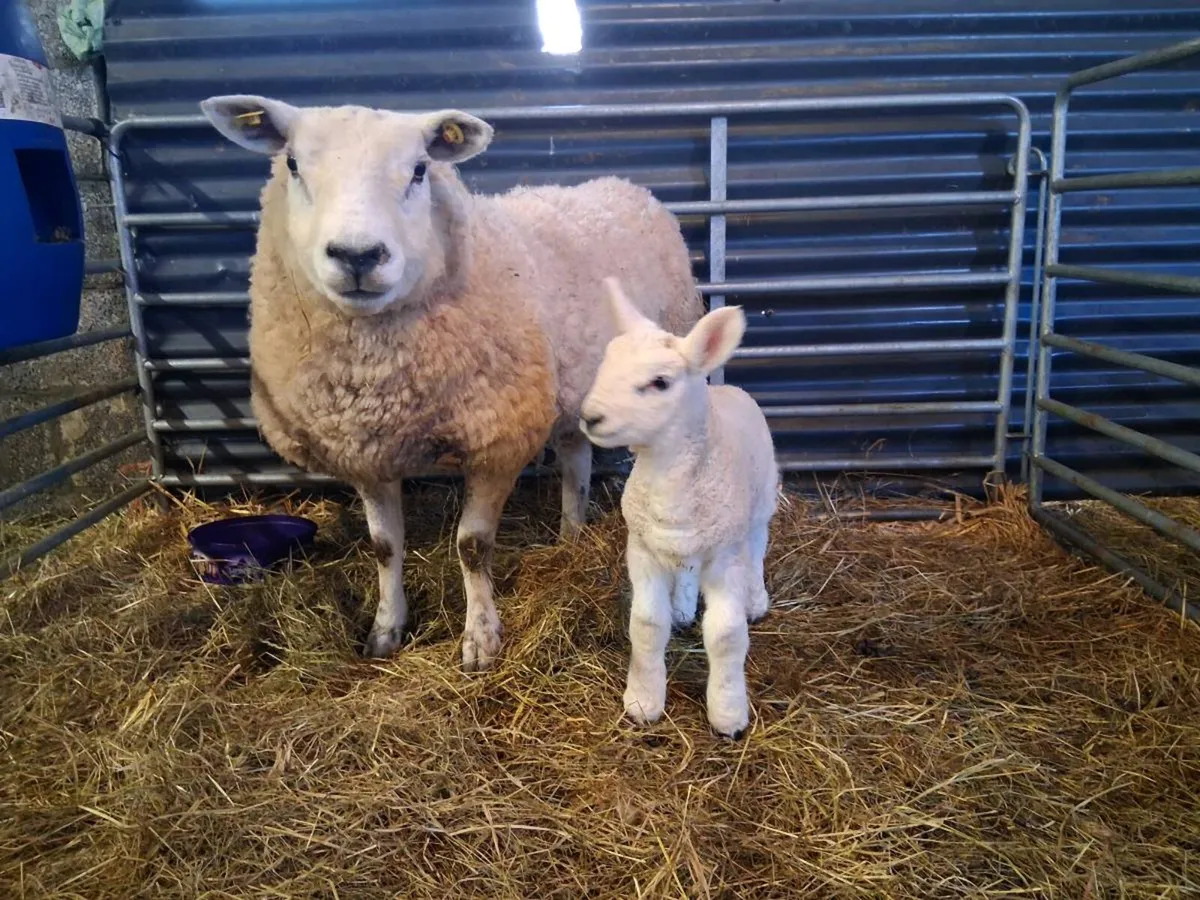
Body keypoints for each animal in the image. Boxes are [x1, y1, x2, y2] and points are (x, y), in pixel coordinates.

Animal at [199, 95, 702, 669]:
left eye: (420, 170)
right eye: (292, 164)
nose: (357, 255)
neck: (376, 382)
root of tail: (624, 184)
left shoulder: (497, 441)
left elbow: (471, 546)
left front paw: (480, 639)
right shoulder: (366, 453)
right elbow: (384, 547)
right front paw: (385, 629)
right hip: (569, 389)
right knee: (575, 455)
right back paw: (571, 535)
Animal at [580, 277, 779, 738]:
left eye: (660, 382)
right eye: (605, 365)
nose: (590, 417)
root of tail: (726, 387)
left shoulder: (724, 557)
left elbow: (725, 635)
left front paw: (728, 714)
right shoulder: (642, 548)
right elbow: (647, 625)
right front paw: (643, 701)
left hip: (760, 504)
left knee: (757, 549)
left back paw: (755, 600)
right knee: (685, 572)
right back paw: (683, 606)